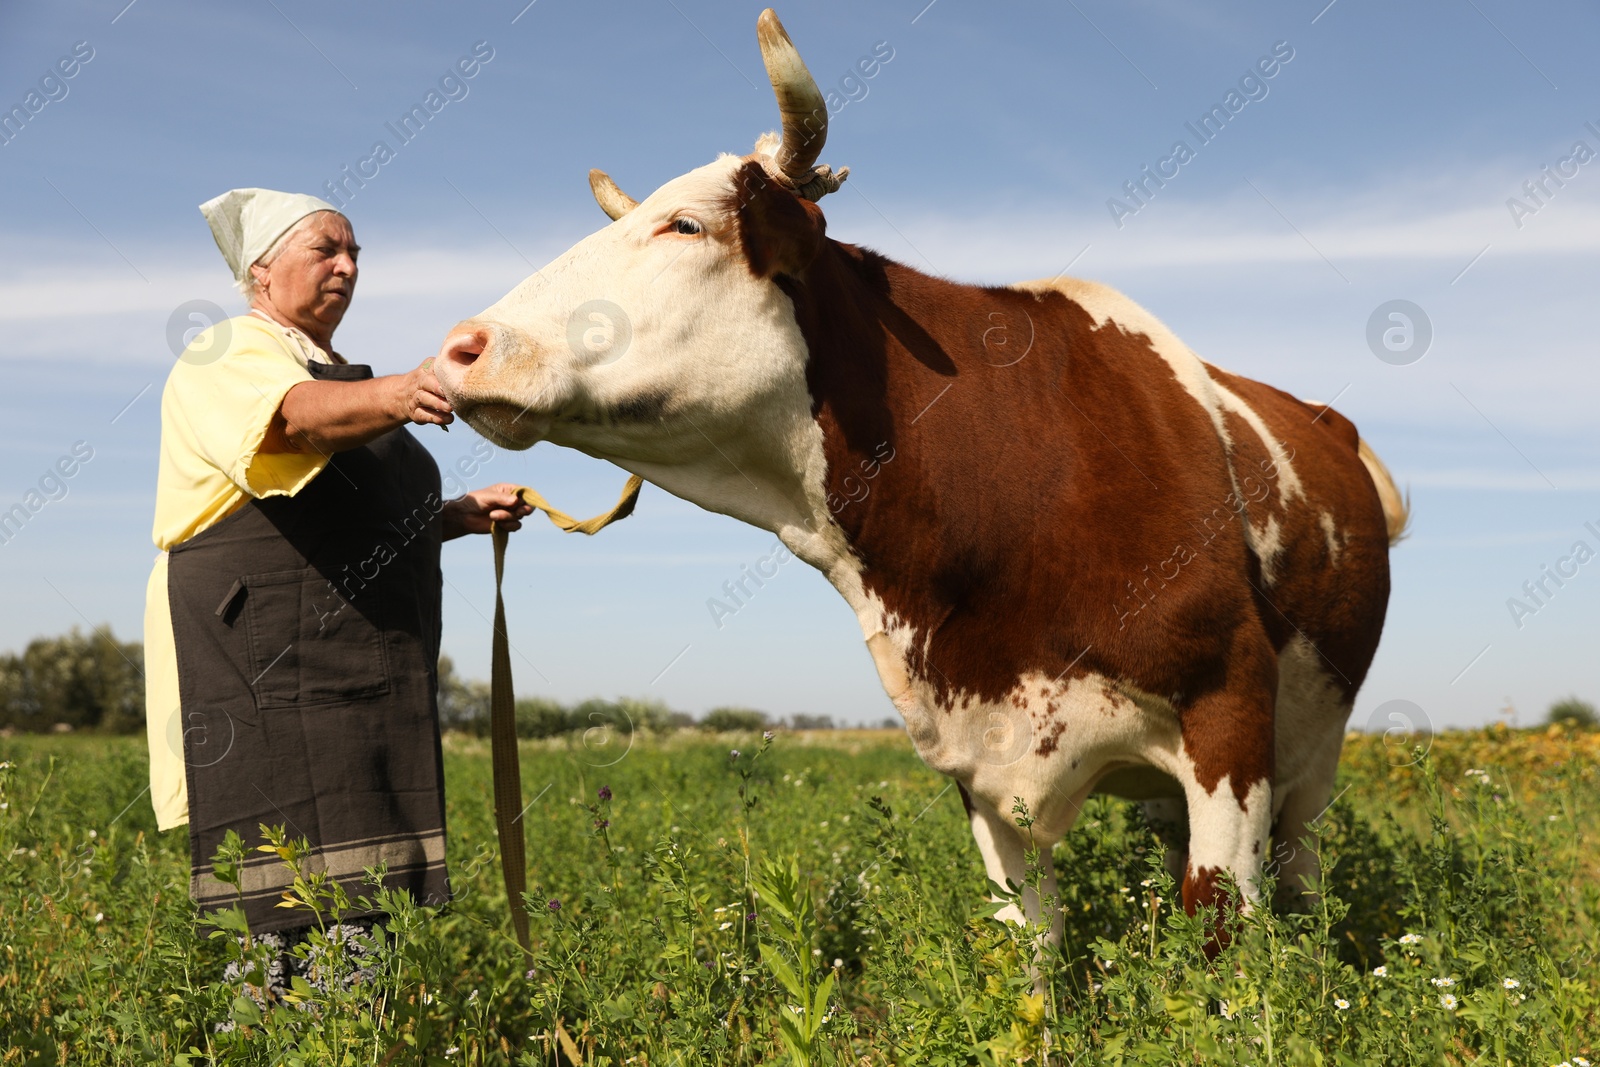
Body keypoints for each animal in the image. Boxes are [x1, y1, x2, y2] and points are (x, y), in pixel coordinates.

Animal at [432, 8, 1408, 940]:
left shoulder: (1229, 714)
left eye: (687, 224)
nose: (462, 346)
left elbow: (1221, 936)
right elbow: (1027, 951)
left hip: (1312, 758)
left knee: (1301, 880)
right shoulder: (981, 760)